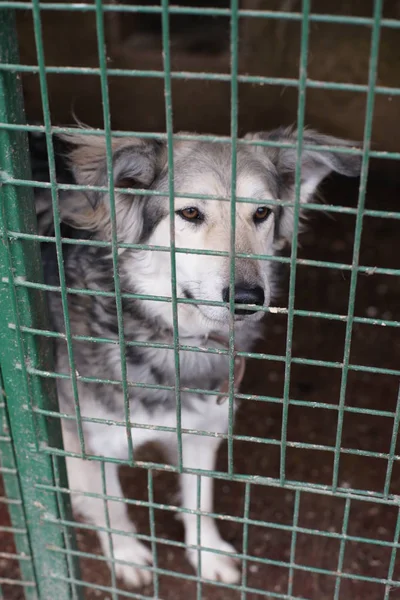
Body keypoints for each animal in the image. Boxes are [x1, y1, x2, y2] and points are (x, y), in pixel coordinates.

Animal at [32, 126, 360, 584]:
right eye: (189, 213)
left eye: (262, 213)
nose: (248, 298)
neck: (175, 339)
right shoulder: (89, 441)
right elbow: (112, 505)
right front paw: (126, 554)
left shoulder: (203, 431)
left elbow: (199, 501)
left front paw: (207, 555)